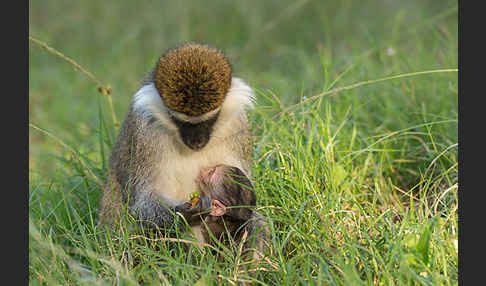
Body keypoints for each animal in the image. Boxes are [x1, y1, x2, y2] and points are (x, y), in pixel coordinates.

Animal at [99, 43, 256, 239]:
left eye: (209, 120)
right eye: (180, 121)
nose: (197, 142)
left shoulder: (238, 126)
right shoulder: (145, 131)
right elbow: (144, 202)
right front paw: (184, 214)